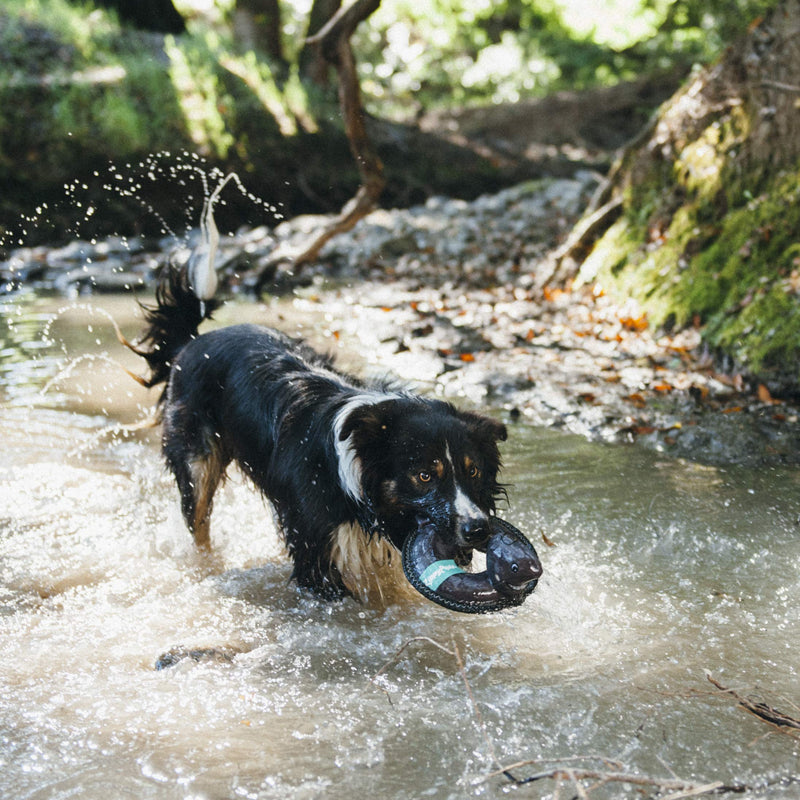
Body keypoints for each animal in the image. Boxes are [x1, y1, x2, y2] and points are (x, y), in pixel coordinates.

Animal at [128, 266, 510, 604]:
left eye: (473, 471)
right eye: (425, 475)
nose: (479, 529)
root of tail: (194, 341)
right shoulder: (317, 554)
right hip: (196, 463)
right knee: (199, 522)